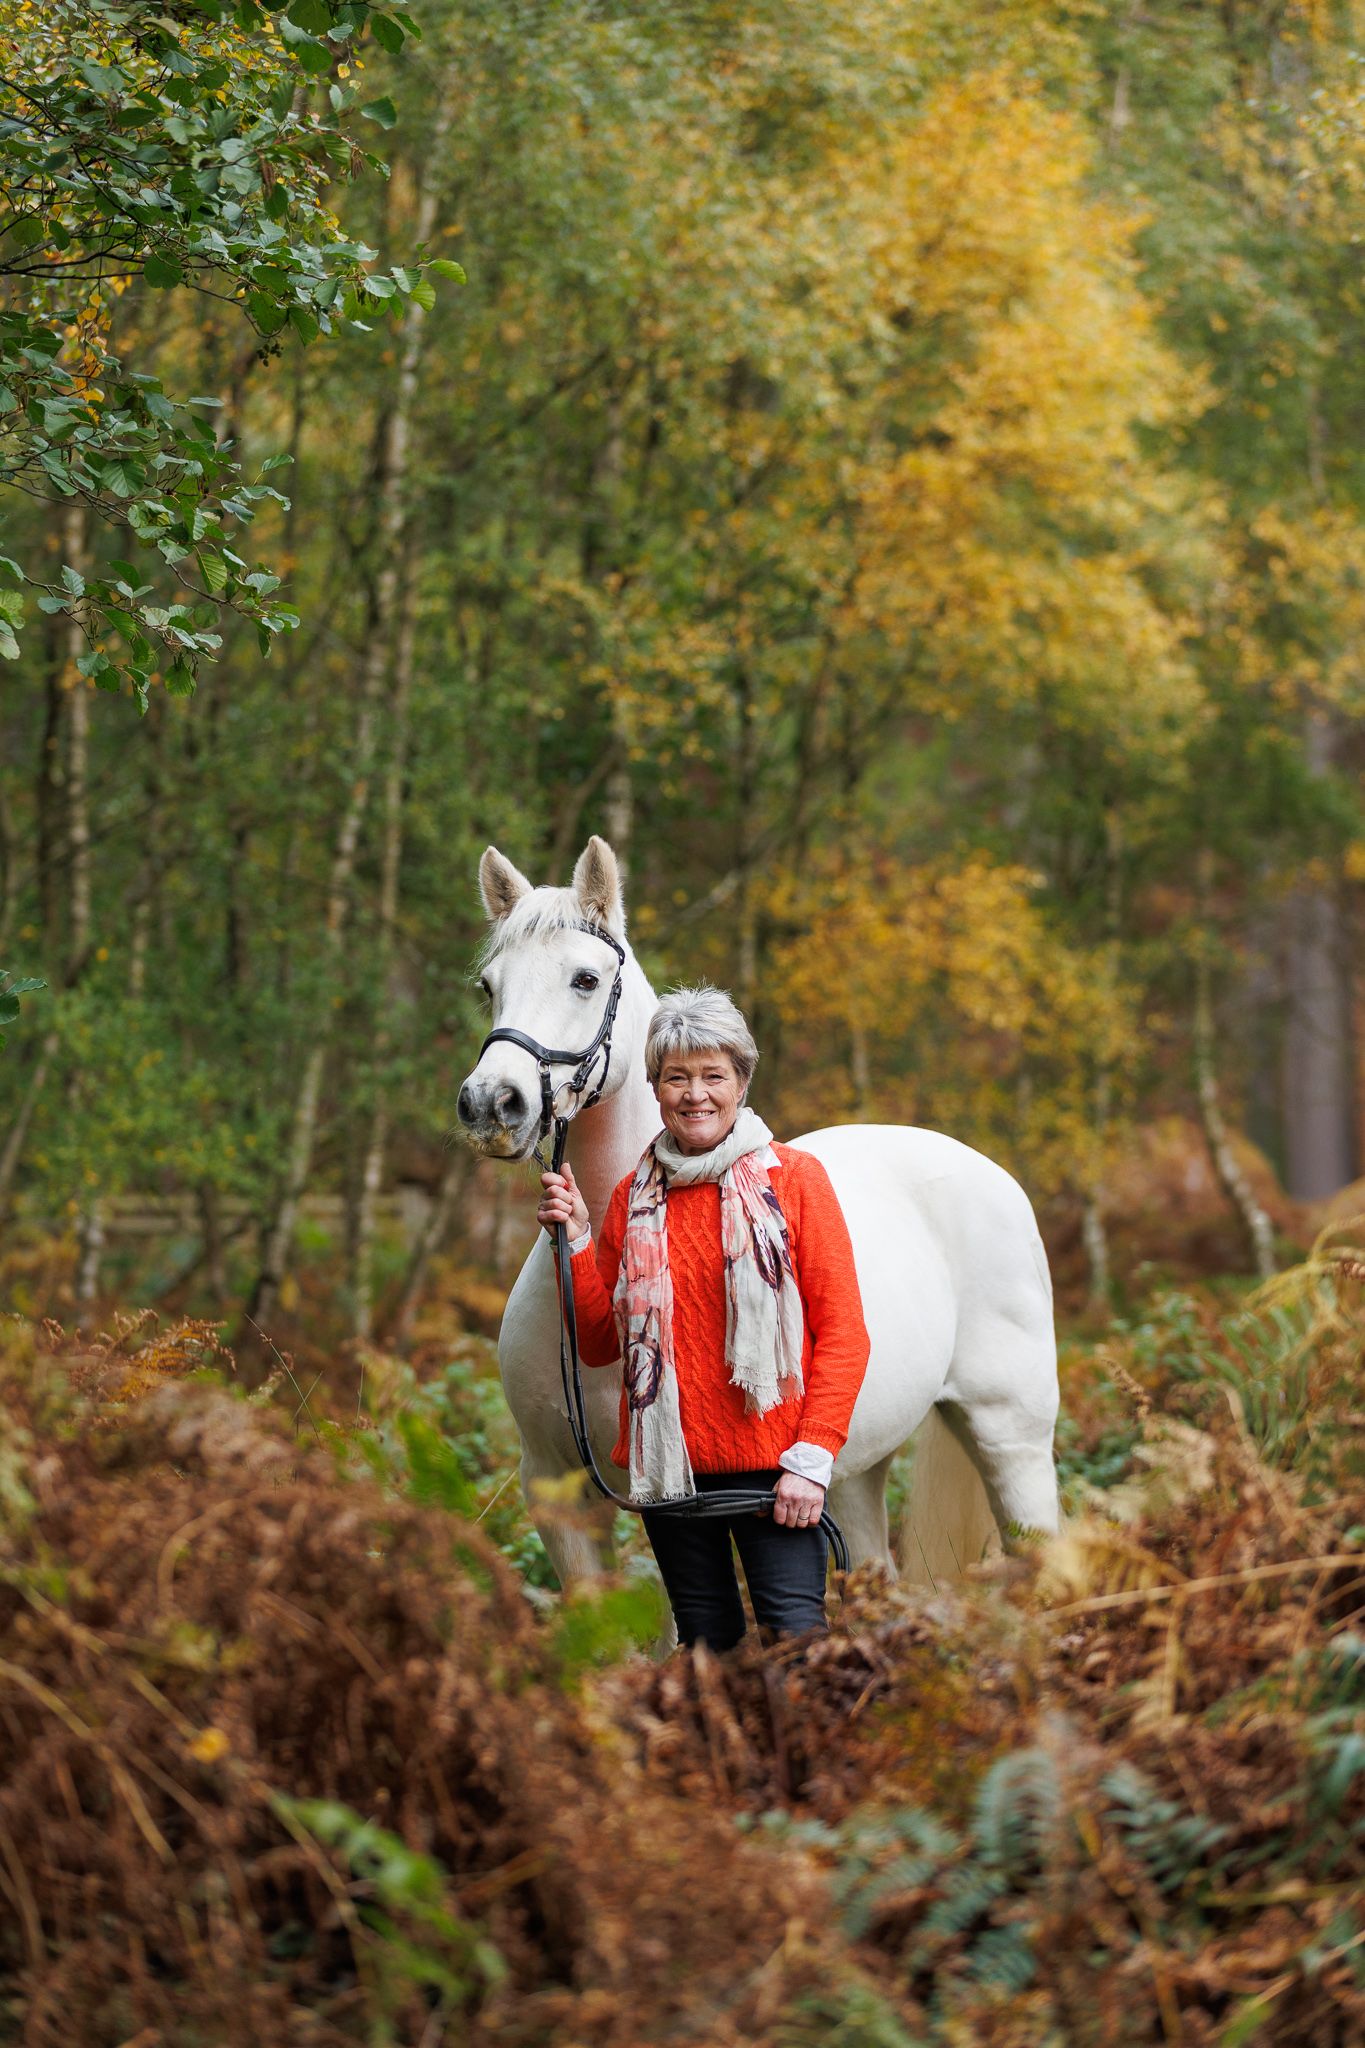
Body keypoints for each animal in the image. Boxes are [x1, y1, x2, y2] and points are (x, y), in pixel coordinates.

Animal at [456, 835, 1060, 1588]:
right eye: (489, 986)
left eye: (585, 979)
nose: (490, 1104)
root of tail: (989, 1173)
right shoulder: (559, 1495)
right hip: (853, 1473)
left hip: (1013, 1441)